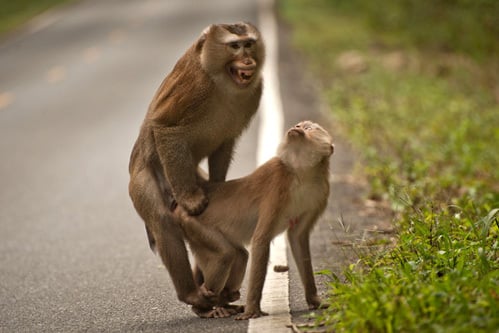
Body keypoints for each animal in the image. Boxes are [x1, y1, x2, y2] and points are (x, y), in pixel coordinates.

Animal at [130, 22, 266, 308]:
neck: (222, 80)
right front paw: (191, 202)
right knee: (162, 221)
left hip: (191, 174)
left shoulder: (255, 90)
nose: (248, 60)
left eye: (249, 44)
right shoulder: (195, 87)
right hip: (148, 177)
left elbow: (225, 142)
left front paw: (220, 187)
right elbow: (167, 128)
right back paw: (190, 294)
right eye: (234, 46)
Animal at [177, 120, 336, 318]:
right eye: (299, 125)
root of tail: (181, 209)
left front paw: (314, 300)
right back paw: (203, 308)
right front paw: (253, 310)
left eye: (309, 128)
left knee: (239, 256)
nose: (296, 128)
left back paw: (224, 300)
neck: (301, 173)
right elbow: (261, 238)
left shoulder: (320, 192)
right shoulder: (277, 184)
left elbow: (297, 237)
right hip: (194, 225)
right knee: (225, 256)